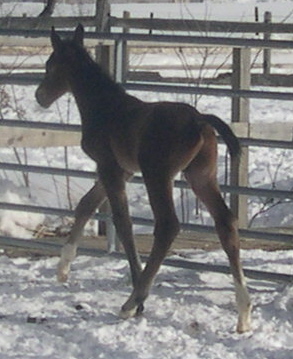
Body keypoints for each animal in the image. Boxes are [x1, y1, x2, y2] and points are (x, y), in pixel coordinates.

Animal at [36, 24, 251, 334]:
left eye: (50, 65)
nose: (39, 96)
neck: (106, 107)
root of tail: (199, 120)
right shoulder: (119, 169)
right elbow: (86, 205)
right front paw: (63, 269)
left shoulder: (110, 169)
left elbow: (122, 223)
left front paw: (138, 299)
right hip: (200, 175)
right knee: (226, 223)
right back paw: (244, 313)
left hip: (157, 175)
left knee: (168, 225)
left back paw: (130, 302)